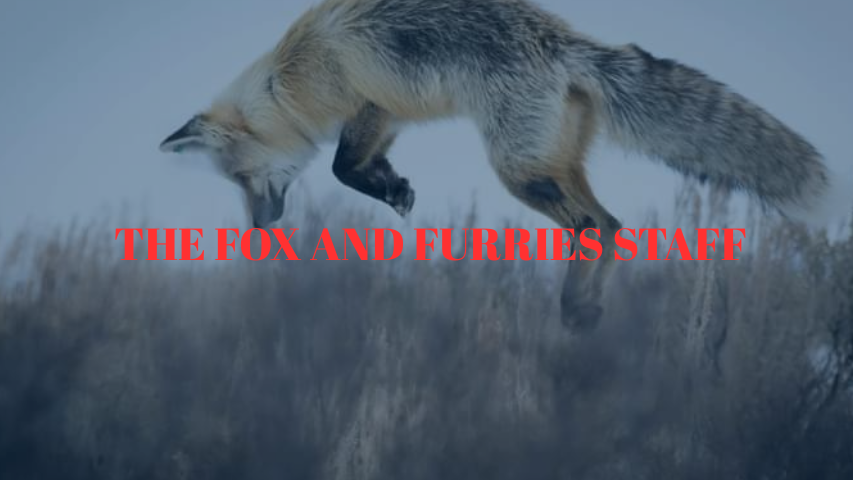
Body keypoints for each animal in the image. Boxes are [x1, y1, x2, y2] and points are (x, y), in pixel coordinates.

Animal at [160, 0, 833, 333]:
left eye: (242, 179)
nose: (258, 229)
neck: (288, 80)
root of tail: (566, 45)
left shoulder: (366, 98)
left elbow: (340, 169)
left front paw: (387, 187)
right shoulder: (386, 109)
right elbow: (358, 165)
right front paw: (393, 187)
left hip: (519, 170)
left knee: (594, 226)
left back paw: (576, 307)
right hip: (553, 161)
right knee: (614, 225)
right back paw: (582, 309)